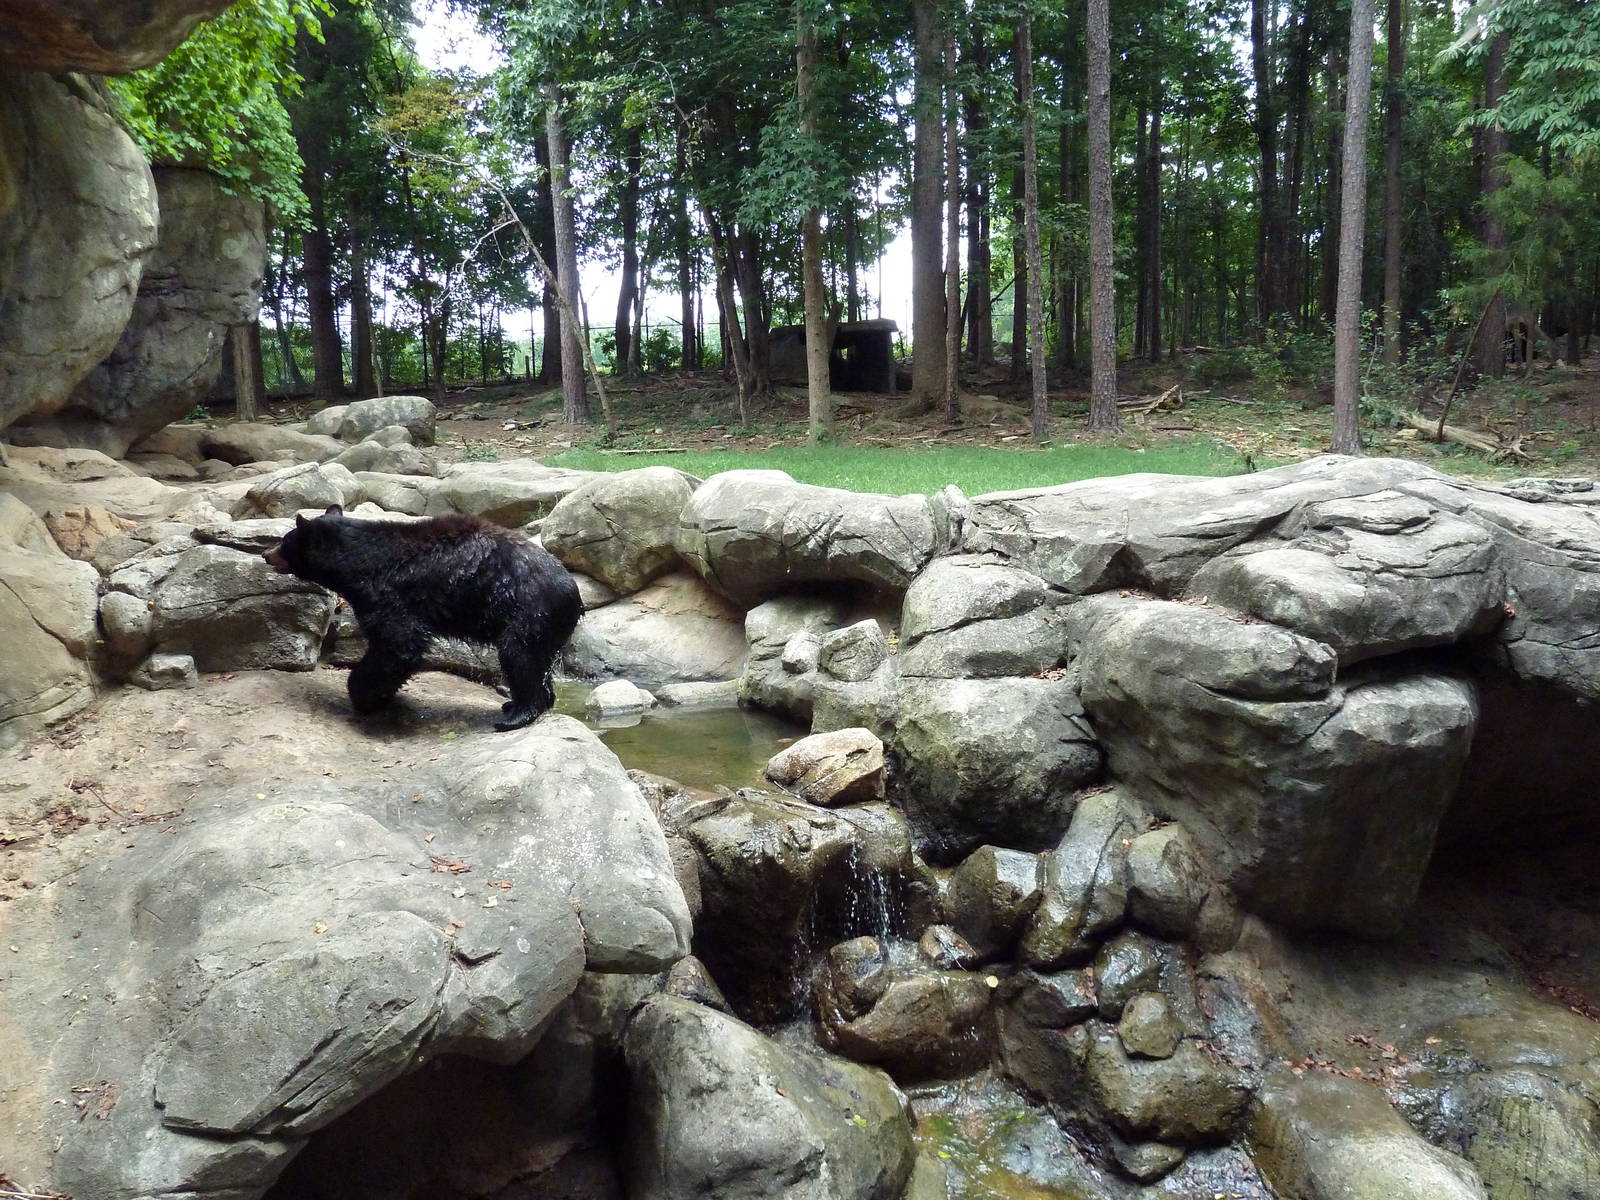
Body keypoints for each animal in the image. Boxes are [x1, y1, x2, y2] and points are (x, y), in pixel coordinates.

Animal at [263, 505, 581, 730]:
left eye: (285, 540)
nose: (266, 554)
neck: (359, 562)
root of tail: (573, 592)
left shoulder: (388, 593)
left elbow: (399, 643)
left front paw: (365, 696)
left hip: (529, 612)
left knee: (519, 655)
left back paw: (516, 714)